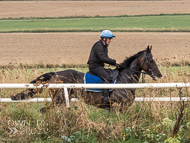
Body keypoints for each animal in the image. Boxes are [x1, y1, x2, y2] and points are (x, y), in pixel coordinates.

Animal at [10, 45, 162, 112]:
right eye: (150, 59)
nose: (159, 75)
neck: (124, 81)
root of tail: (54, 74)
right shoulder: (118, 107)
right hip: (59, 100)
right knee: (44, 110)